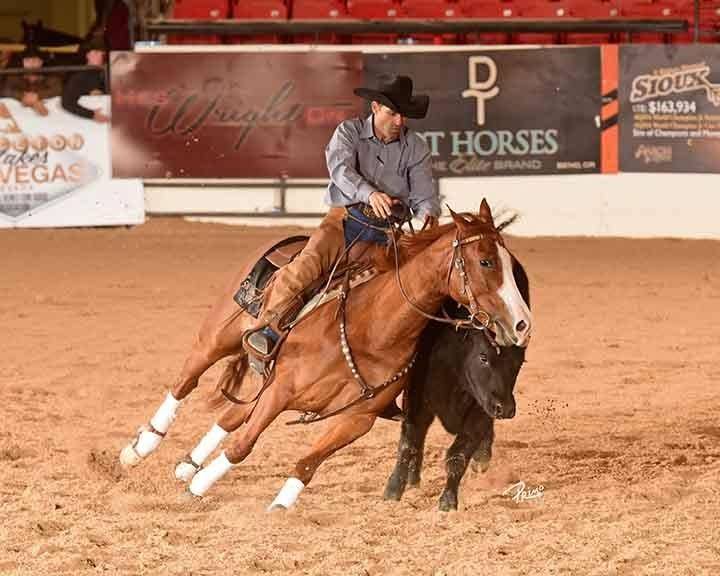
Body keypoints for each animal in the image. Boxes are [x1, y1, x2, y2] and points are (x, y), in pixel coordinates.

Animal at [121, 201, 532, 508]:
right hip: (216, 339)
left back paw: (187, 465)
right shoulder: (281, 391)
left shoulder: (356, 419)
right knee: (186, 383)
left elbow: (307, 462)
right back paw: (140, 448)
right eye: (485, 261)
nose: (522, 323)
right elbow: (242, 446)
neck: (372, 330)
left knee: (230, 415)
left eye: (511, 264)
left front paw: (280, 504)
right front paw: (198, 487)